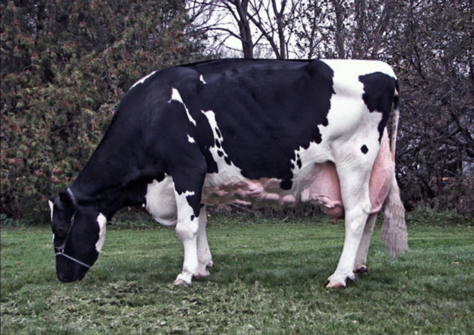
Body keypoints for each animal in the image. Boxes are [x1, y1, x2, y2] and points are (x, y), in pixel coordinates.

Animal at [50, 58, 410, 288]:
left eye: (60, 229)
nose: (62, 277)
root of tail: (386, 71)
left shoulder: (186, 167)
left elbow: (185, 228)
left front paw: (185, 275)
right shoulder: (196, 180)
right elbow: (200, 223)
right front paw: (202, 267)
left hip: (353, 158)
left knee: (356, 214)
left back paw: (338, 276)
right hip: (373, 165)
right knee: (371, 212)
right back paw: (356, 268)